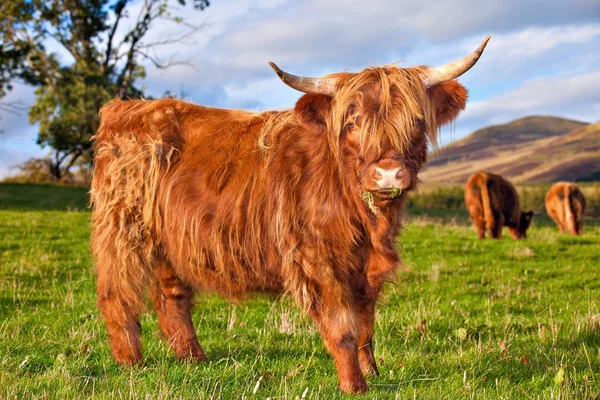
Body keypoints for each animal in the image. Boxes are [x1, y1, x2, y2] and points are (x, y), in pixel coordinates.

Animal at [90, 36, 492, 392]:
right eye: (352, 123)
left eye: (416, 122)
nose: (389, 174)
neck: (364, 219)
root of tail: (123, 108)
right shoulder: (317, 258)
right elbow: (343, 326)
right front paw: (354, 385)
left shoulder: (367, 267)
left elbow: (365, 324)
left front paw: (373, 373)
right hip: (122, 229)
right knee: (117, 292)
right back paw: (131, 361)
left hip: (167, 241)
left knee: (171, 295)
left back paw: (193, 358)